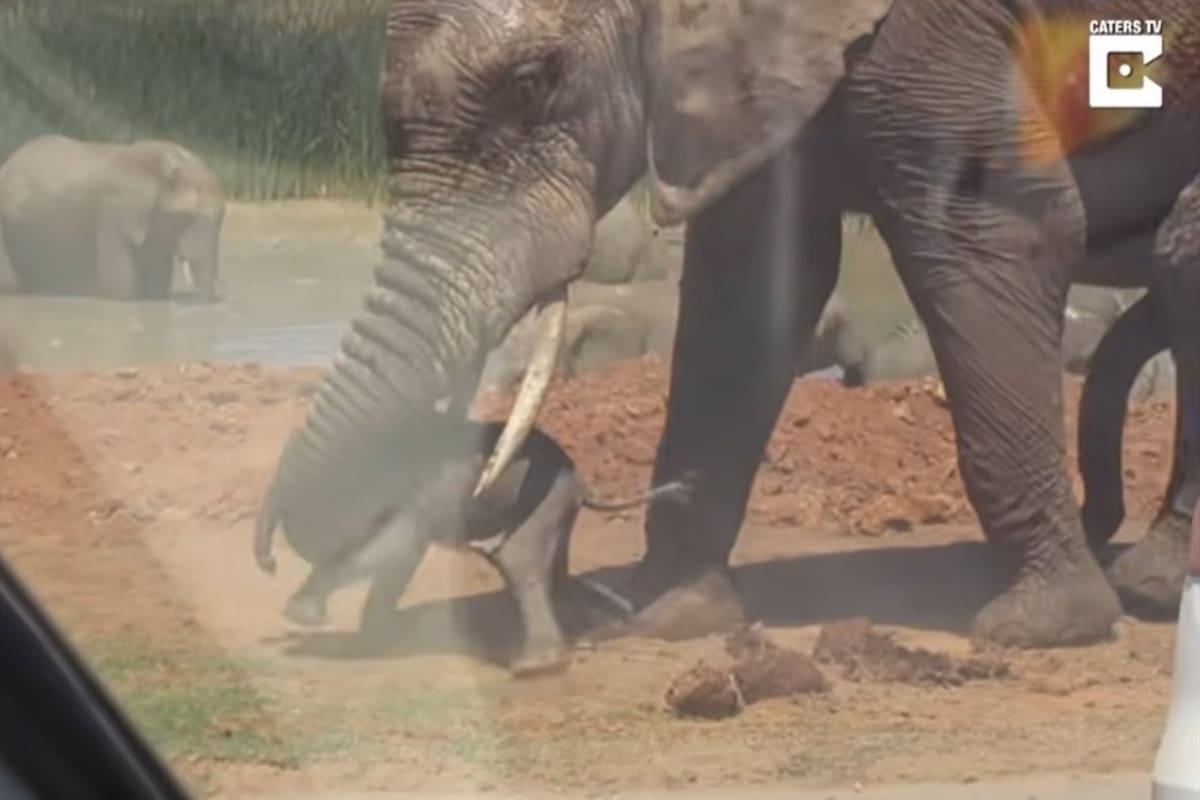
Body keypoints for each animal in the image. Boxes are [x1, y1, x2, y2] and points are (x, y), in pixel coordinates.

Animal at [0, 135, 224, 302]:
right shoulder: (115, 210)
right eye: (185, 217)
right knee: (10, 285)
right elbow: (121, 289)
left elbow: (156, 287)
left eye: (222, 215)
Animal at [257, 418, 690, 676]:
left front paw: (305, 616)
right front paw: (370, 638)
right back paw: (605, 624)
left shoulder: (421, 495)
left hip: (541, 501)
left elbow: (390, 549)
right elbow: (393, 557)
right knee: (556, 573)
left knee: (519, 564)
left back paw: (532, 666)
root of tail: (584, 484)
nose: (270, 564)